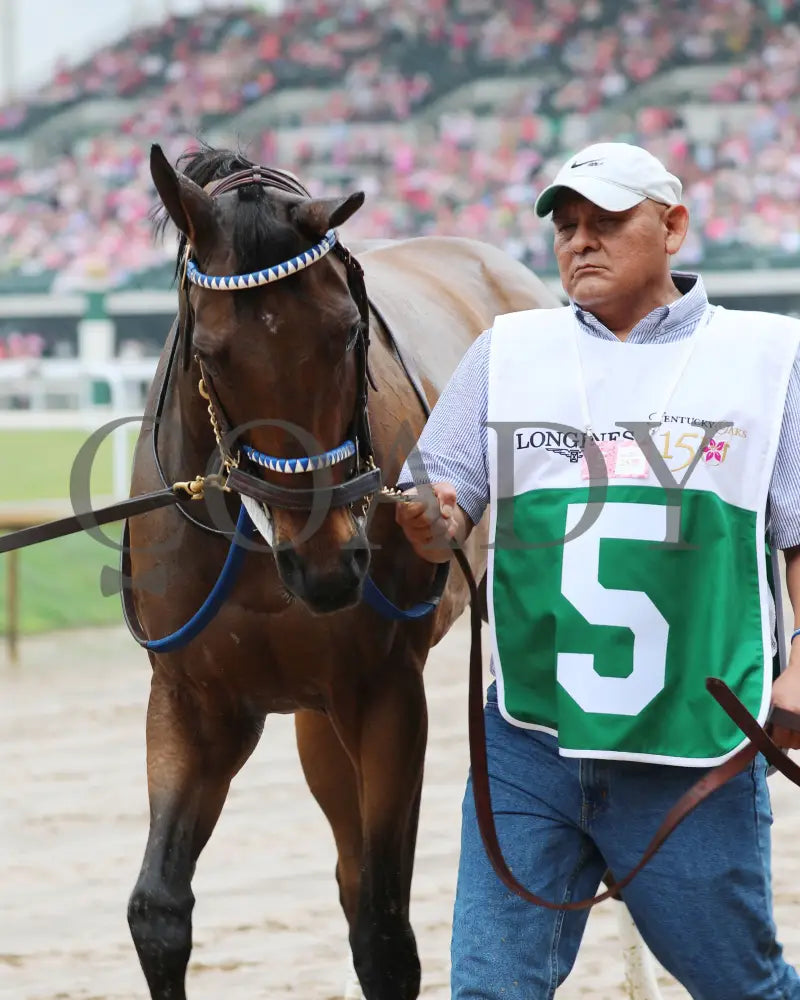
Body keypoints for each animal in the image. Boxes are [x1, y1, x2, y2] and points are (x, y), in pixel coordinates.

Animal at [126, 143, 564, 1000]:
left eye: (348, 330)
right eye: (211, 354)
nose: (329, 560)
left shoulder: (383, 692)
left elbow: (386, 934)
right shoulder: (195, 700)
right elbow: (158, 911)